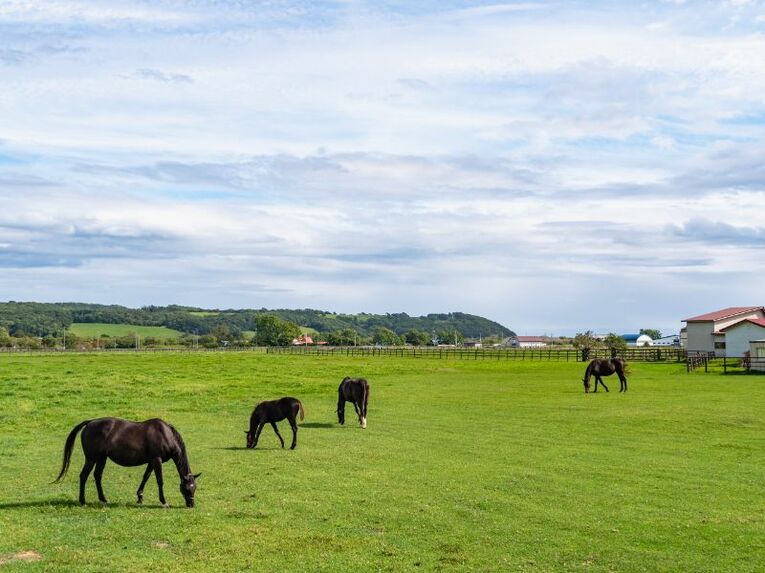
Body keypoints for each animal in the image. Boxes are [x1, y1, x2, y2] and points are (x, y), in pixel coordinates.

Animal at [54, 417, 200, 507]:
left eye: (195, 488)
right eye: (187, 488)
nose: (191, 505)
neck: (165, 435)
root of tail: (90, 422)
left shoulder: (151, 461)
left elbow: (145, 477)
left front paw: (140, 497)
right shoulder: (156, 460)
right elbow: (159, 480)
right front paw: (163, 501)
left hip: (102, 458)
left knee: (97, 476)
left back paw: (103, 499)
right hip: (91, 458)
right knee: (84, 476)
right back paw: (82, 501)